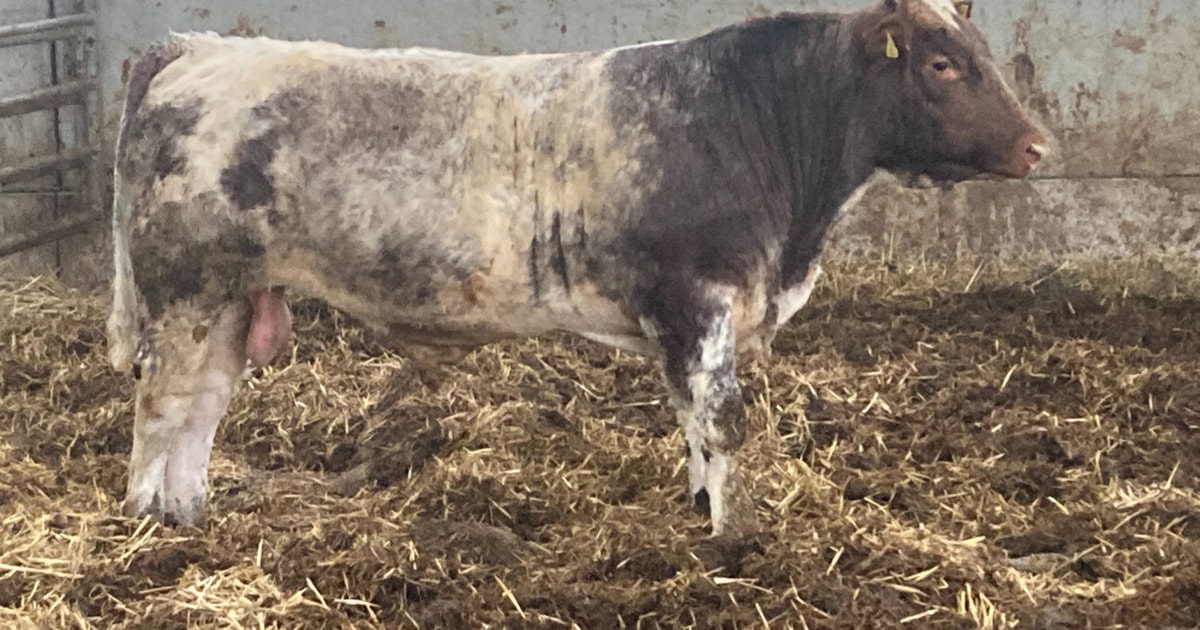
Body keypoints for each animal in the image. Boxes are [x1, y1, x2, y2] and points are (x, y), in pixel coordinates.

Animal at [106, 0, 1046, 536]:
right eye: (942, 63)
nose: (1039, 145)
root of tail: (197, 48)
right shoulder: (699, 299)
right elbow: (722, 422)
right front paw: (734, 545)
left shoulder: (690, 320)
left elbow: (691, 425)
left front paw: (699, 511)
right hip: (185, 292)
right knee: (164, 413)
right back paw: (152, 532)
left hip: (231, 301)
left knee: (200, 412)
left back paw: (192, 520)